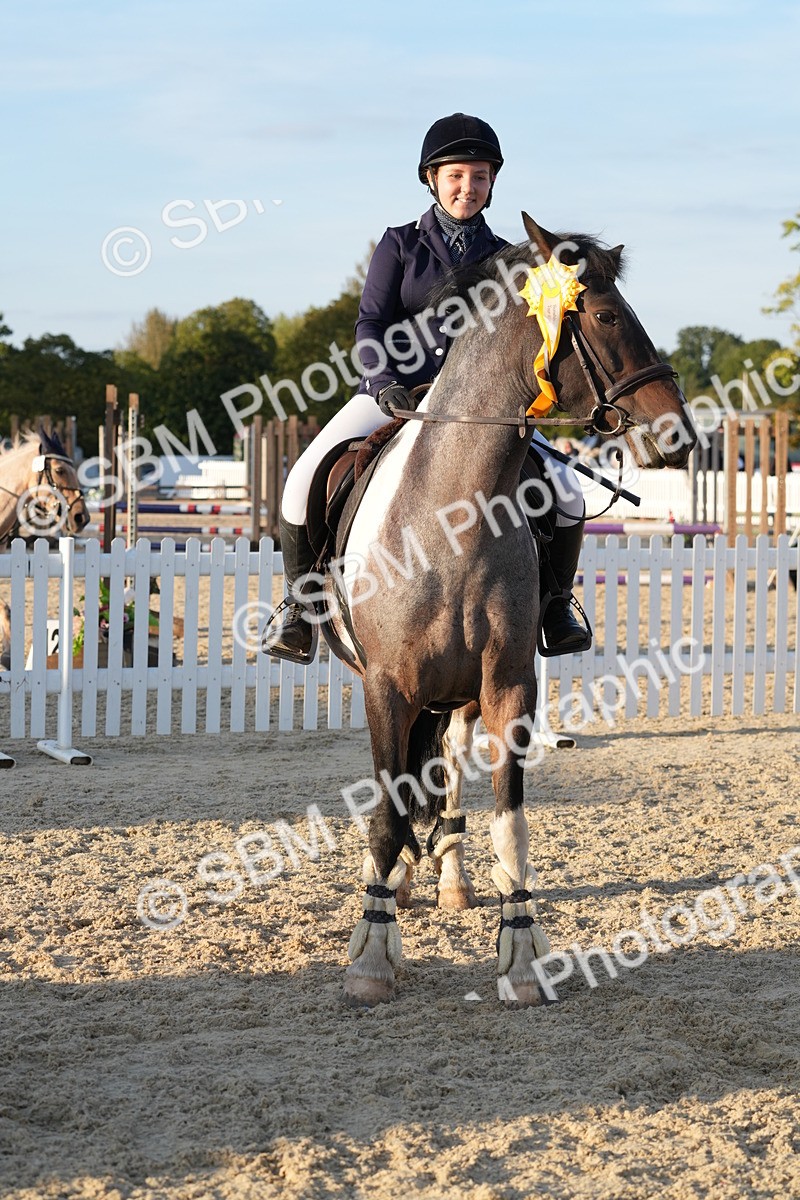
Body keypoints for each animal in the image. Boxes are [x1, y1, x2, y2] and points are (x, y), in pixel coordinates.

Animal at [315, 213, 697, 1007]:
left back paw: (451, 880)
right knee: (404, 787)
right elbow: (386, 814)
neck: (450, 515)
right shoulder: (385, 688)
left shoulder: (509, 687)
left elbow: (510, 822)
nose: (680, 436)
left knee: (449, 772)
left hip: (460, 696)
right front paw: (372, 956)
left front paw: (520, 958)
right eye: (607, 317)